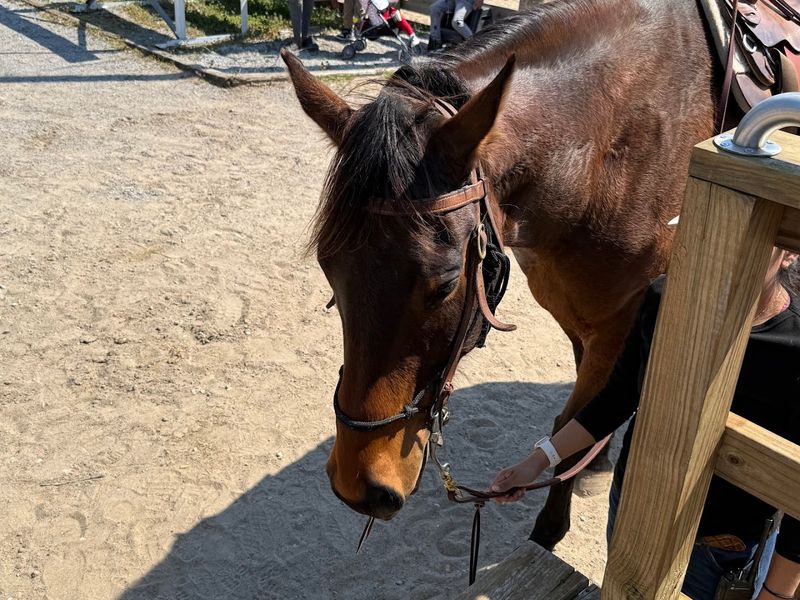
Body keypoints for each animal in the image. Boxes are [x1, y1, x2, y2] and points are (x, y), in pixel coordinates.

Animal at [281, 0, 718, 550]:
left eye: (446, 284)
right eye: (328, 269)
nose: (359, 485)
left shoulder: (622, 321)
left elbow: (575, 427)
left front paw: (549, 532)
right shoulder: (585, 319)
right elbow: (585, 417)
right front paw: (597, 465)